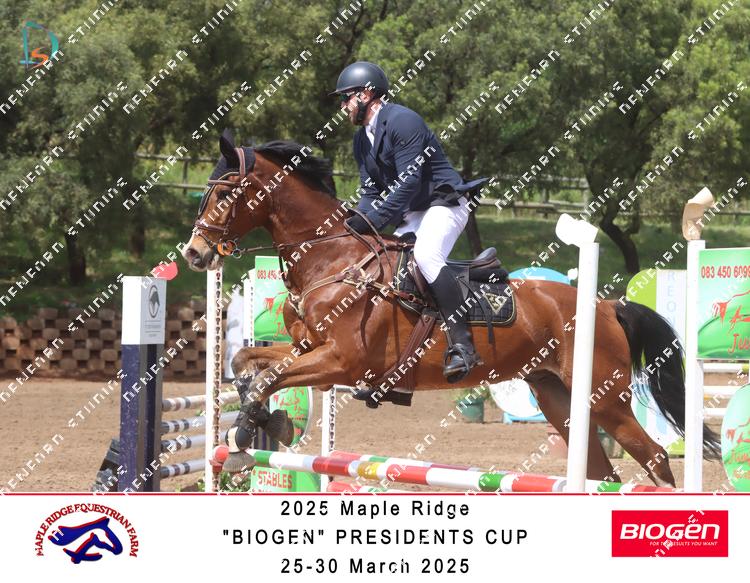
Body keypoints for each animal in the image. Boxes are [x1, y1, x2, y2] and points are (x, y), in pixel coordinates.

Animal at [181, 131, 720, 486]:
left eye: (225, 192)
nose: (194, 254)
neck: (333, 258)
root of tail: (606, 306)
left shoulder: (341, 361)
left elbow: (268, 377)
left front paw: (253, 428)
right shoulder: (307, 349)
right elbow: (247, 364)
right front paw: (258, 425)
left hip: (605, 399)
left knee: (655, 458)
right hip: (557, 398)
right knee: (600, 473)